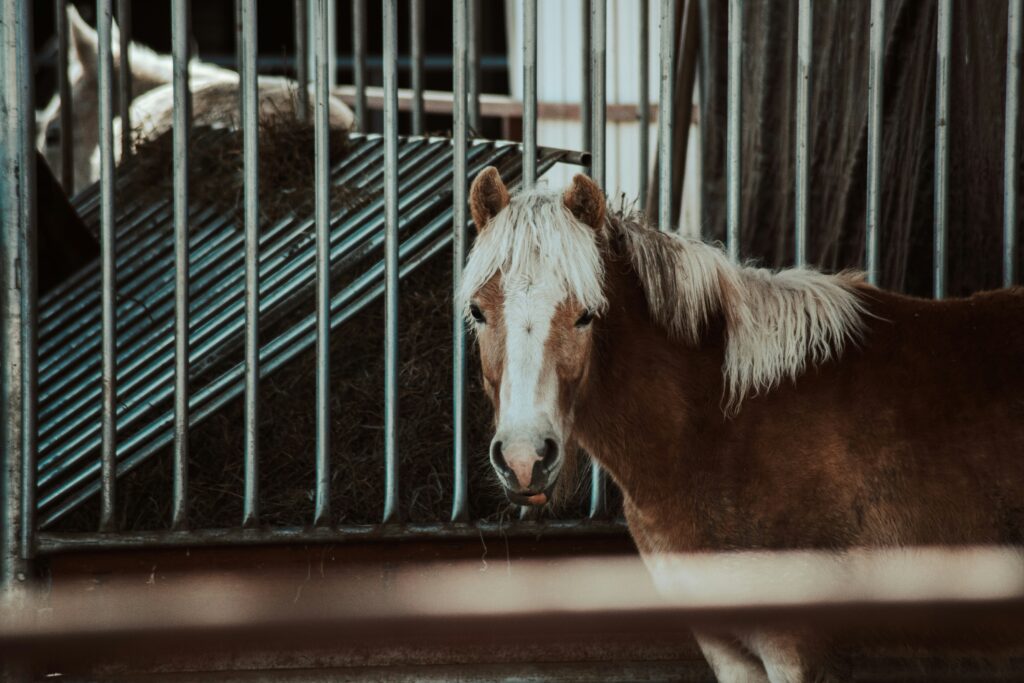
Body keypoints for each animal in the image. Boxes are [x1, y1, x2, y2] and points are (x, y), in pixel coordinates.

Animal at [460, 167, 1024, 682]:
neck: (716, 431)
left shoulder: (791, 648)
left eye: (586, 315)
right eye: (478, 312)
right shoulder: (725, 647)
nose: (525, 459)